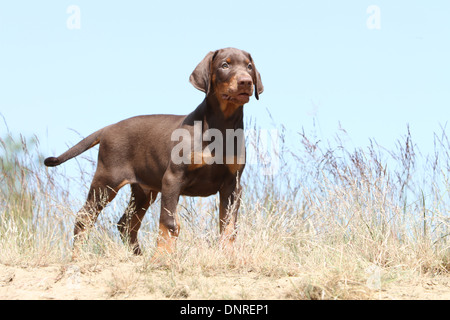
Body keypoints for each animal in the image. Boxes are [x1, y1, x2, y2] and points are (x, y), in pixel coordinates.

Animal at [44, 47, 264, 258]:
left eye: (249, 66)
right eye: (225, 65)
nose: (246, 82)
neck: (221, 126)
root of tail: (108, 128)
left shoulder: (232, 184)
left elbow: (228, 225)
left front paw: (228, 254)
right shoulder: (173, 178)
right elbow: (168, 222)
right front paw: (162, 256)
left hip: (144, 190)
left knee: (126, 224)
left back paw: (137, 256)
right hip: (106, 181)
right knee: (85, 216)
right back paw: (77, 255)